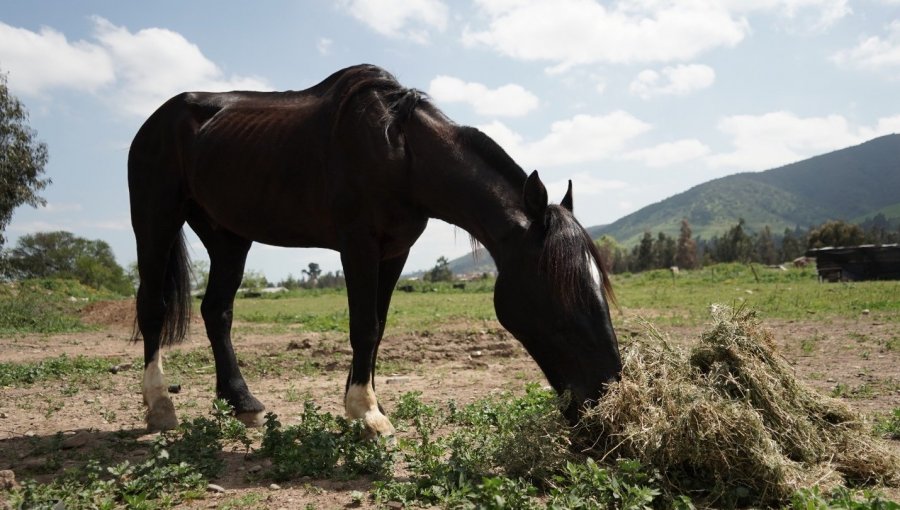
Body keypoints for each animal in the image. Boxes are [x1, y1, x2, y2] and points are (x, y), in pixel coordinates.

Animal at [128, 62, 620, 434]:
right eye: (561, 295)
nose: (606, 398)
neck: (399, 154)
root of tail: (155, 120)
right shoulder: (359, 246)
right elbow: (363, 326)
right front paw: (367, 414)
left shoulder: (395, 252)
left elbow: (378, 327)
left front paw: (363, 403)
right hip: (156, 221)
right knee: (153, 307)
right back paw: (160, 407)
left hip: (227, 236)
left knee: (217, 311)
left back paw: (242, 401)